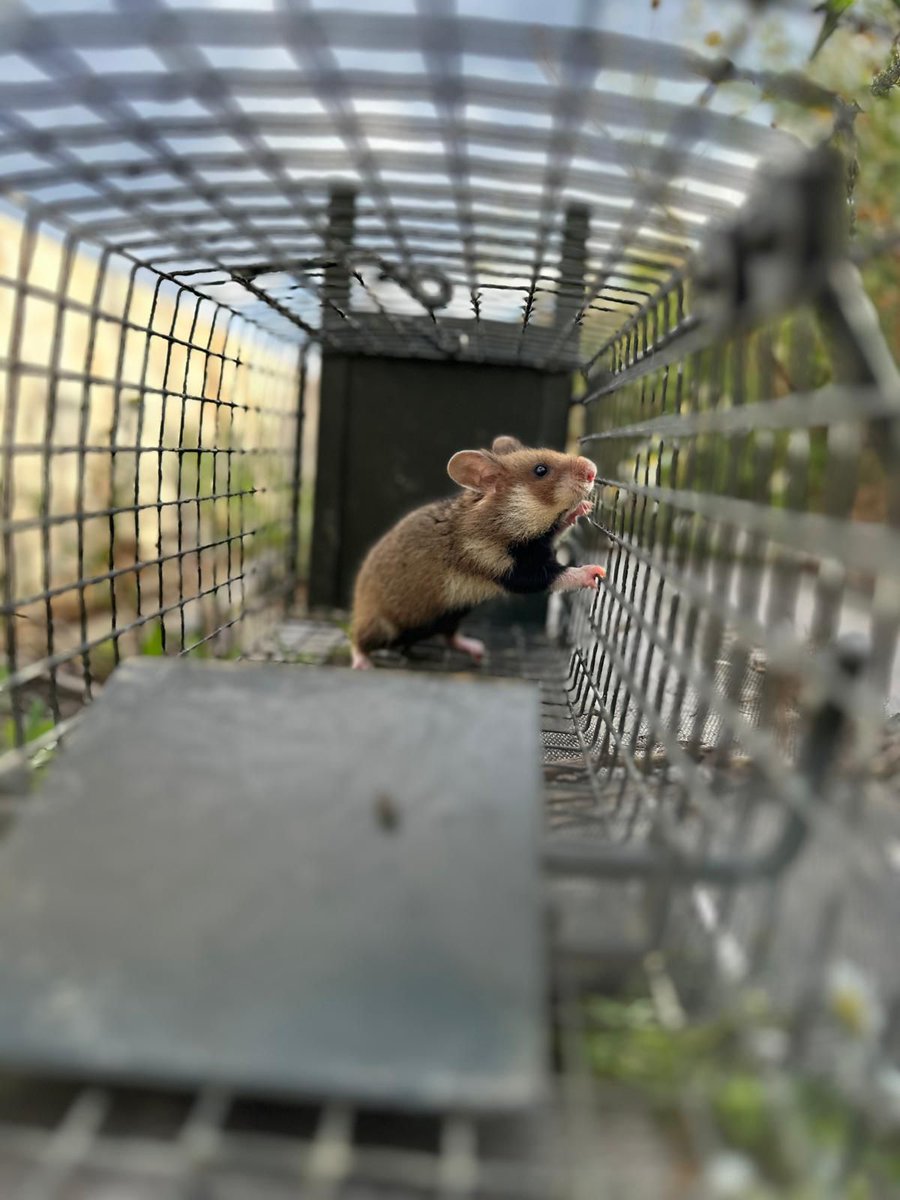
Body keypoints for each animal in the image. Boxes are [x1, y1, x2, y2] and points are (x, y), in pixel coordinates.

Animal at [350, 435, 606, 670]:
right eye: (540, 470)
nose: (593, 470)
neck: (504, 517)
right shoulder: (509, 568)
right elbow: (558, 575)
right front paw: (594, 572)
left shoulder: (539, 543)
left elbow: (557, 529)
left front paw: (581, 509)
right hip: (381, 626)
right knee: (358, 640)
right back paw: (362, 663)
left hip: (452, 615)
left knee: (450, 637)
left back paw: (477, 650)